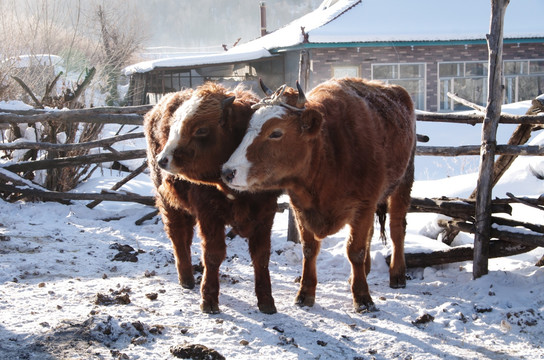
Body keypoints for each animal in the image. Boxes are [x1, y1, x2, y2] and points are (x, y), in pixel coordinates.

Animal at [143, 83, 278, 314]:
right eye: (174, 127)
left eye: (201, 130)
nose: (163, 159)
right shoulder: (208, 214)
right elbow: (213, 255)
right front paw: (209, 299)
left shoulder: (265, 214)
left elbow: (261, 256)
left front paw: (267, 300)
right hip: (167, 202)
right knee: (178, 236)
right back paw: (186, 278)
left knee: (186, 236)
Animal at [221, 79, 416, 312]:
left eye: (276, 133)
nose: (227, 171)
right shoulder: (300, 207)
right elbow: (309, 249)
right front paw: (305, 293)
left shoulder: (364, 204)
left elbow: (355, 251)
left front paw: (362, 298)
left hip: (404, 182)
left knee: (397, 229)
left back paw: (397, 274)